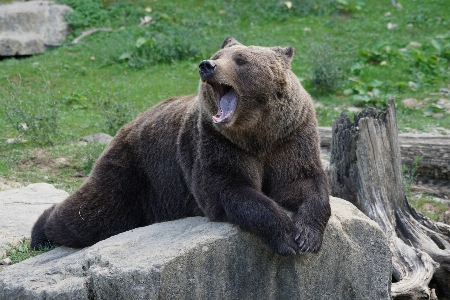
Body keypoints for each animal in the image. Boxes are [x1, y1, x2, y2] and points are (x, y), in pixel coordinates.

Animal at [30, 37, 330, 255]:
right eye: (218, 56)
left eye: (241, 60)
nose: (206, 65)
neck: (256, 134)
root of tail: (128, 125)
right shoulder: (217, 143)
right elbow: (230, 188)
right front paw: (285, 236)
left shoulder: (290, 137)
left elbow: (303, 182)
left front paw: (306, 236)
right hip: (135, 172)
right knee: (92, 215)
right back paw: (40, 232)